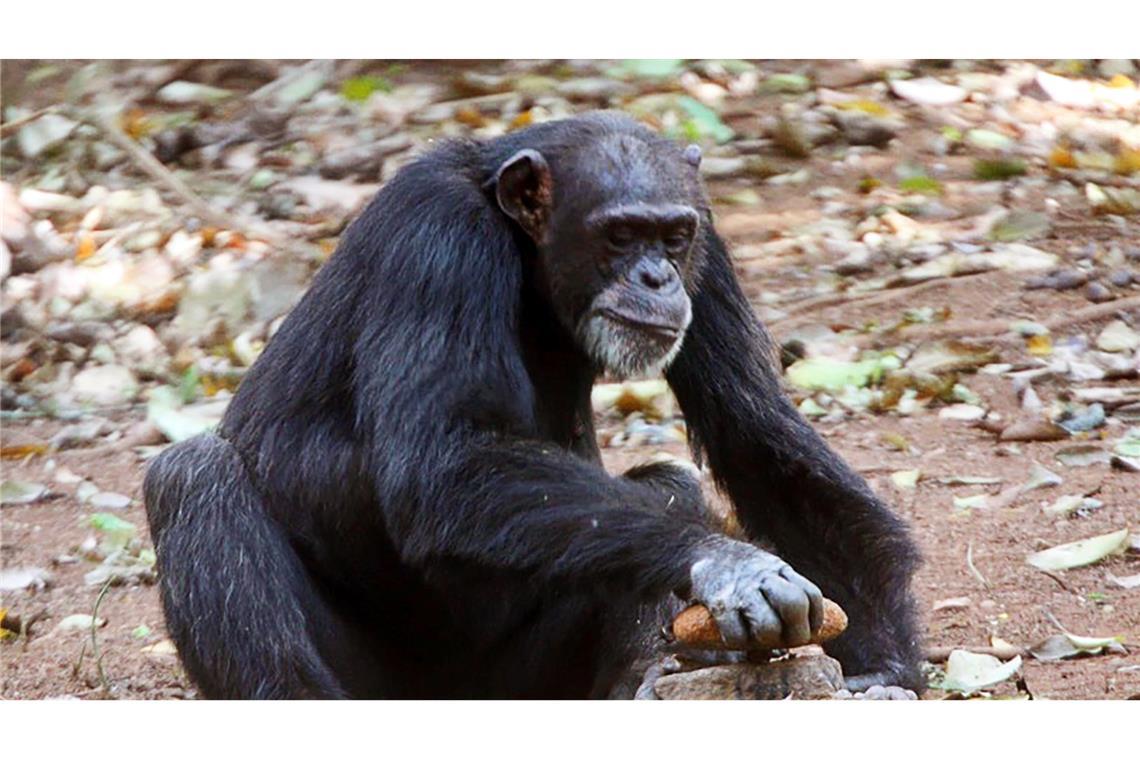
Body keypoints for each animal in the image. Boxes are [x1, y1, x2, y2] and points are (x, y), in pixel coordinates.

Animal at [144, 109, 925, 697]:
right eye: (620, 234)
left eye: (673, 236)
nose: (658, 277)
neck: (523, 245)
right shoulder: (436, 239)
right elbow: (445, 463)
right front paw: (726, 562)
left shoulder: (712, 253)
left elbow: (755, 430)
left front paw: (886, 662)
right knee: (192, 475)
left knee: (666, 483)